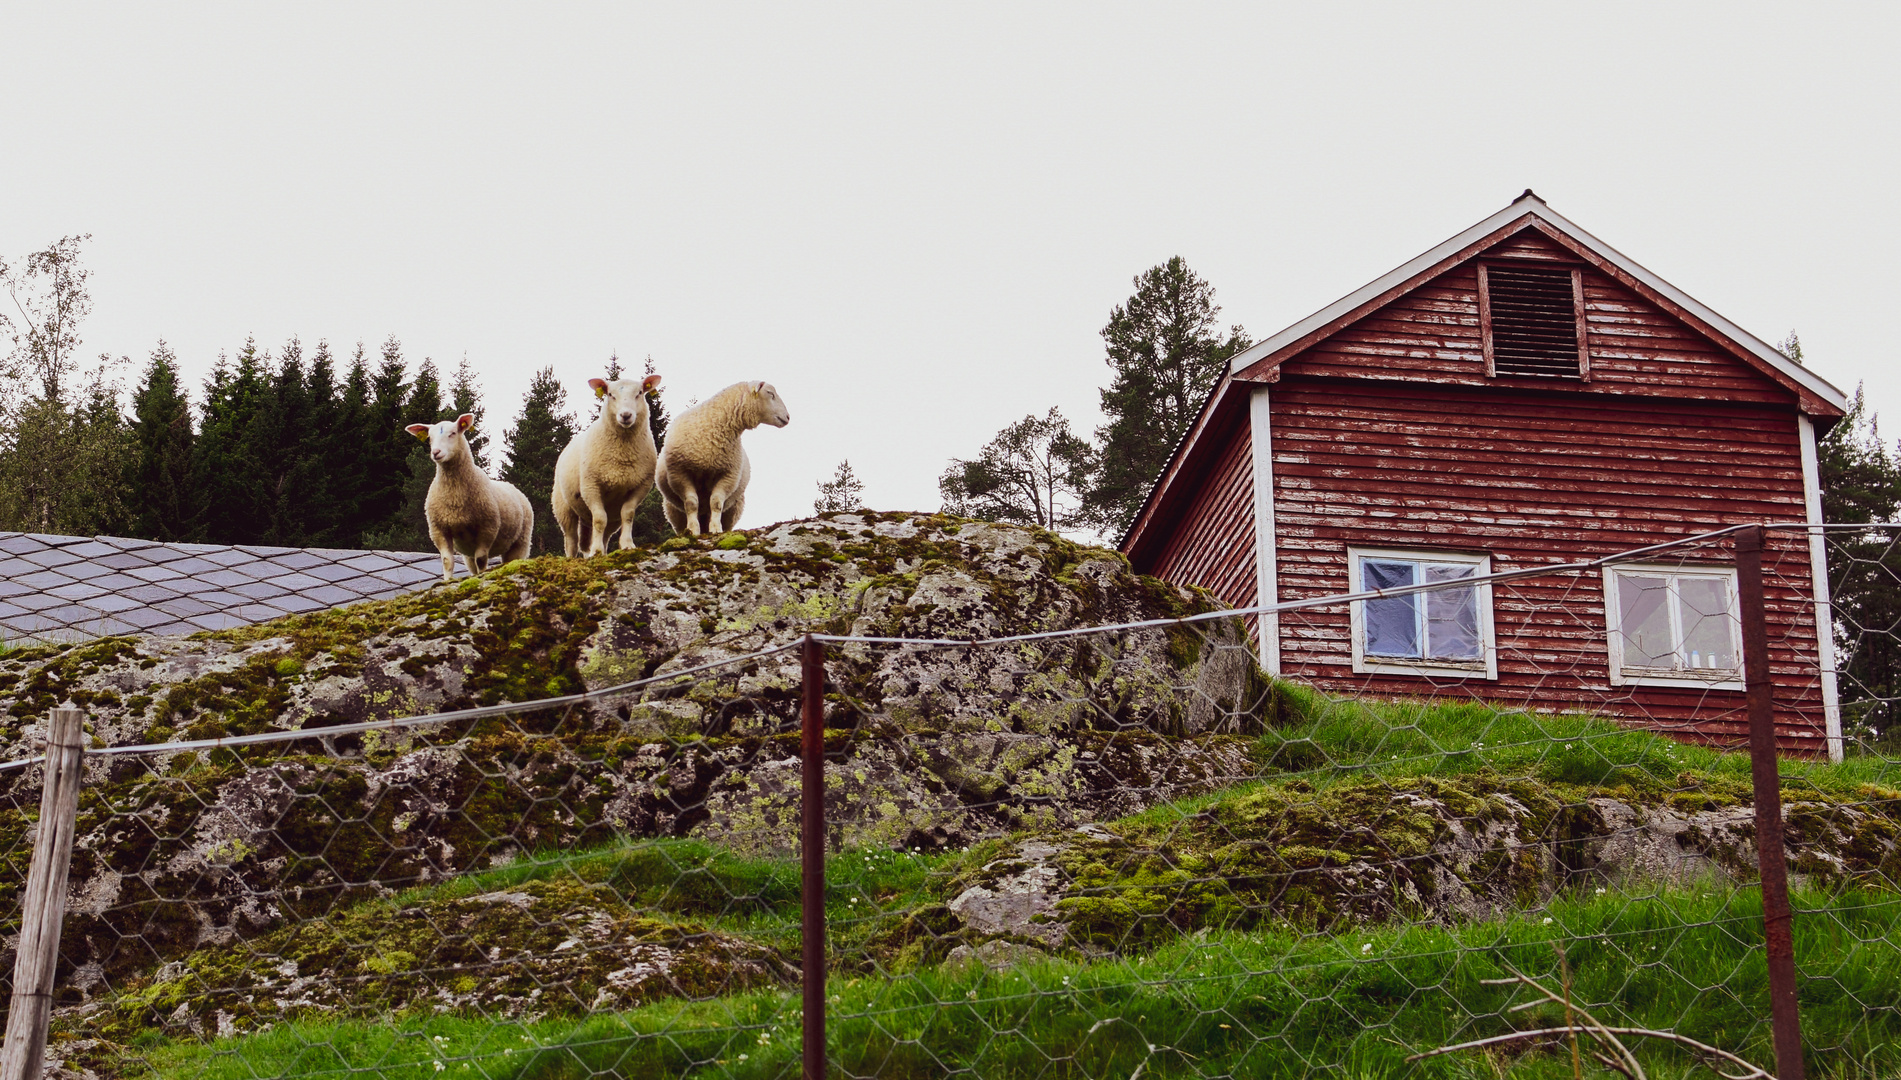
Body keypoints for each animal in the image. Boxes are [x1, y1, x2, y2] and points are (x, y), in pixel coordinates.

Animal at [403, 412, 536, 581]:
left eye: (453, 433)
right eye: (429, 437)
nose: (436, 453)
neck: (454, 495)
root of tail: (512, 486)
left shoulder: (487, 528)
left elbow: (481, 560)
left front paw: (481, 577)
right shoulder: (439, 529)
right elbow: (447, 561)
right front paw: (448, 581)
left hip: (520, 542)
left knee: (511, 559)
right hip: (468, 552)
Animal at [551, 372, 661, 555]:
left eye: (639, 393)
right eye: (610, 394)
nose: (626, 415)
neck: (622, 455)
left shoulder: (640, 486)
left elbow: (628, 515)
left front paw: (627, 545)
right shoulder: (591, 486)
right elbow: (599, 519)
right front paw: (596, 550)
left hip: (611, 516)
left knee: (602, 535)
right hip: (563, 507)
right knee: (571, 540)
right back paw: (575, 556)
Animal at [657, 380, 790, 536]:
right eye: (770, 393)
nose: (788, 417)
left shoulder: (728, 475)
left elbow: (716, 503)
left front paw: (715, 529)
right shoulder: (679, 473)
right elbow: (691, 504)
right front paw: (693, 530)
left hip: (733, 509)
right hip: (674, 512)